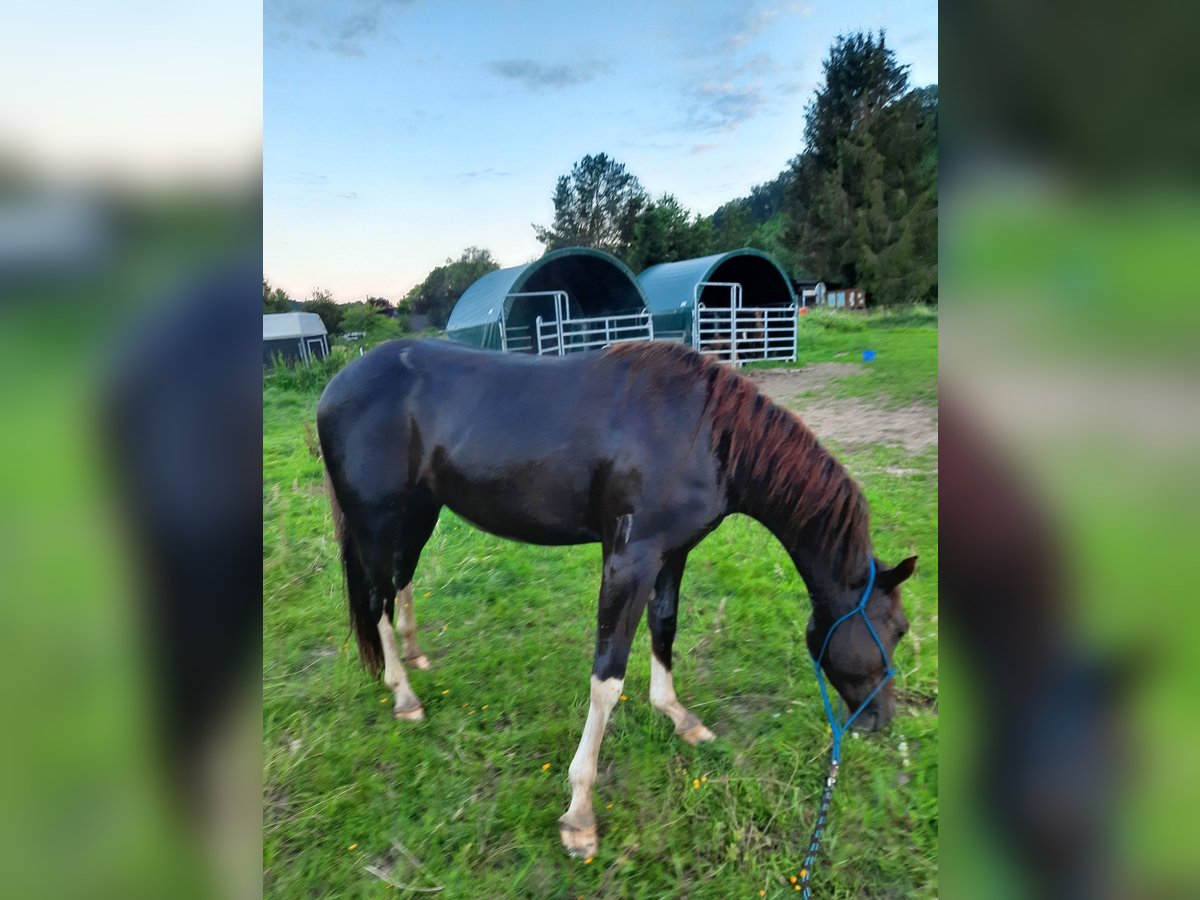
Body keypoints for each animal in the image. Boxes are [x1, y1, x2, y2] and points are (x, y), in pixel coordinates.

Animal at [314, 340, 912, 859]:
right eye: (899, 630)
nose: (881, 720)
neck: (703, 433)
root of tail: (338, 384)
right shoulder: (630, 558)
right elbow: (608, 678)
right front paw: (580, 814)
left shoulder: (672, 554)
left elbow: (665, 629)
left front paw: (679, 716)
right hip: (377, 519)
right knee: (376, 600)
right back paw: (403, 694)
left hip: (420, 510)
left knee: (399, 582)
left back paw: (415, 655)